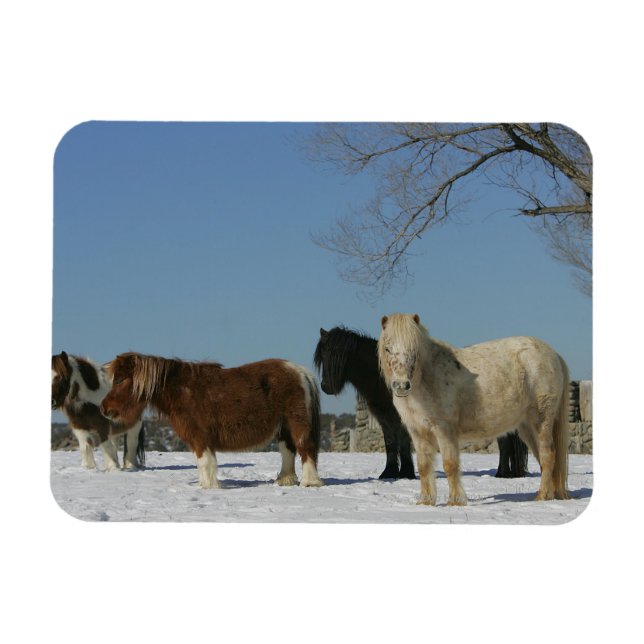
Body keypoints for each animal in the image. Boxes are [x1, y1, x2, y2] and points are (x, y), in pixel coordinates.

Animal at [100, 352, 324, 489]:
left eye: (119, 380)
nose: (104, 409)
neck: (182, 392)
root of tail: (301, 372)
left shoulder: (200, 438)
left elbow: (204, 462)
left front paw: (208, 487)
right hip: (283, 428)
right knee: (288, 451)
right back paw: (285, 481)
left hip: (297, 424)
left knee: (306, 449)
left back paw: (309, 482)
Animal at [378, 313, 570, 506]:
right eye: (387, 348)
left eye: (414, 349)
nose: (401, 385)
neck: (426, 378)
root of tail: (553, 354)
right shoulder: (418, 432)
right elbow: (424, 467)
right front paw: (425, 502)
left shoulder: (444, 429)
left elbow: (450, 464)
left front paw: (455, 502)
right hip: (526, 427)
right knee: (543, 459)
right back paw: (548, 496)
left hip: (541, 420)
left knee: (547, 455)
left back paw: (541, 497)